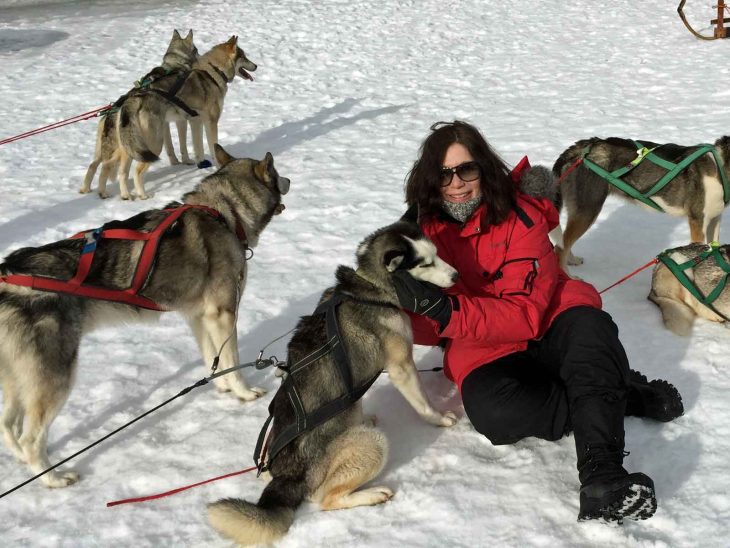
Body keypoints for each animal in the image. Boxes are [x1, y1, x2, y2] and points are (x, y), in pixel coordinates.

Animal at [0, 146, 290, 488]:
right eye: (277, 173)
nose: (288, 180)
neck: (224, 212)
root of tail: (7, 274)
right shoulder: (223, 314)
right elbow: (231, 359)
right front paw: (243, 392)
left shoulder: (200, 317)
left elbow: (212, 359)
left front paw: (221, 387)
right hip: (53, 378)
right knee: (31, 437)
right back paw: (53, 478)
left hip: (19, 378)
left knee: (7, 426)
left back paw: (22, 459)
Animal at [80, 29, 199, 199]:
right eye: (196, 49)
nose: (200, 56)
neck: (174, 65)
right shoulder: (181, 120)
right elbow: (183, 145)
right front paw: (187, 160)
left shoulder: (166, 124)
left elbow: (171, 147)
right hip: (152, 146)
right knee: (134, 171)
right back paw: (140, 195)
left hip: (117, 149)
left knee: (98, 166)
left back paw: (97, 191)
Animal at [115, 35, 258, 200]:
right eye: (244, 57)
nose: (256, 65)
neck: (214, 72)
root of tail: (134, 98)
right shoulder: (211, 122)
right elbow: (213, 146)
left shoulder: (195, 121)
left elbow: (198, 147)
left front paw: (201, 164)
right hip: (154, 145)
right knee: (137, 172)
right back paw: (143, 195)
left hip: (131, 149)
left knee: (122, 172)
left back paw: (126, 195)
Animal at [206, 220, 456, 544]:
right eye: (425, 263)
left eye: (436, 254)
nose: (456, 275)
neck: (370, 288)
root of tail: (288, 475)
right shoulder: (402, 366)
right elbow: (423, 404)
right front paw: (439, 418)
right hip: (370, 445)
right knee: (327, 499)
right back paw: (373, 494)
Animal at [552, 137, 728, 270]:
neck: (720, 168)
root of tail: (582, 147)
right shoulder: (698, 222)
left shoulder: (715, 219)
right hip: (588, 210)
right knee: (560, 248)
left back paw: (572, 261)